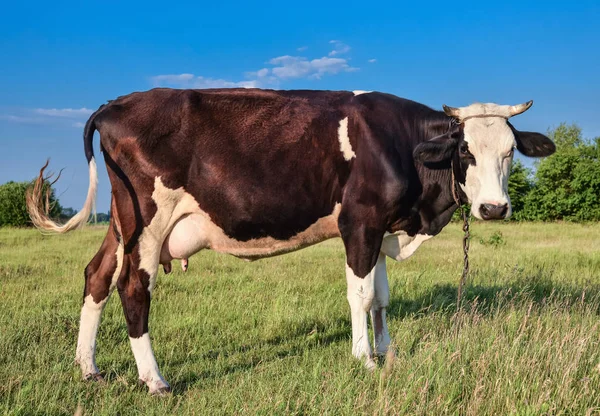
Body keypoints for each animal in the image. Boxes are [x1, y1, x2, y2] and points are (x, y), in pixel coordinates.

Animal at [25, 88, 556, 394]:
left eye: (510, 151)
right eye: (465, 149)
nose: (493, 208)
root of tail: (116, 103)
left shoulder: (382, 227)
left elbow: (383, 298)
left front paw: (388, 354)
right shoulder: (359, 223)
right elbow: (361, 295)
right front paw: (364, 360)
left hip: (122, 220)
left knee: (97, 275)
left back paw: (89, 368)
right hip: (149, 219)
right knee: (133, 288)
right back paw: (154, 379)